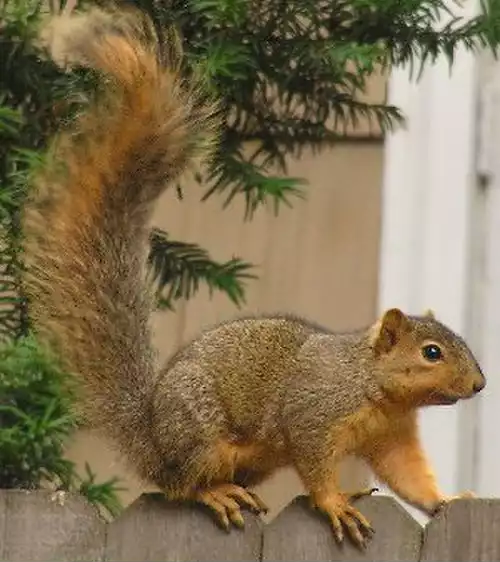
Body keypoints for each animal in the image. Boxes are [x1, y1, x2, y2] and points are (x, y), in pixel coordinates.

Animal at [21, 4, 486, 548]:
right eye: (431, 352)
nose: (479, 384)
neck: (371, 384)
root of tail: (153, 439)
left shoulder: (392, 437)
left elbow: (408, 476)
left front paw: (448, 499)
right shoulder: (313, 415)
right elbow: (315, 463)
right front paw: (335, 503)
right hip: (201, 433)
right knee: (180, 487)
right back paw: (215, 493)